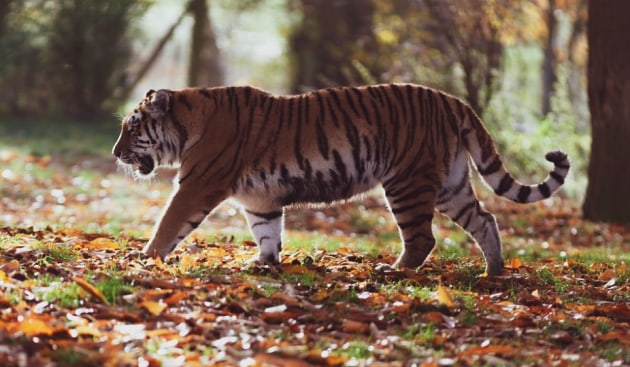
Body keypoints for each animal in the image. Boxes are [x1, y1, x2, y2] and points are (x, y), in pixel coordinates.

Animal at [113, 85, 572, 276]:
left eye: (131, 128)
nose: (115, 154)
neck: (189, 121)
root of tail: (453, 101)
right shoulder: (260, 199)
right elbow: (267, 231)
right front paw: (264, 263)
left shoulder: (197, 185)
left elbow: (168, 223)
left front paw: (145, 257)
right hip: (450, 186)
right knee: (485, 220)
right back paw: (493, 272)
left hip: (407, 183)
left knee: (423, 238)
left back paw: (394, 271)